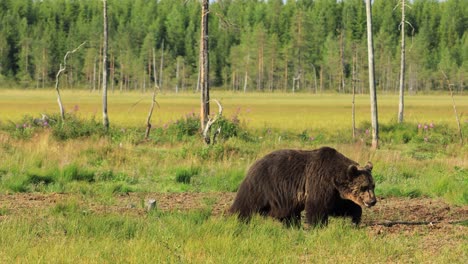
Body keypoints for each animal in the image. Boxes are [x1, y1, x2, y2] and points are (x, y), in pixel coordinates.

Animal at [229, 146, 378, 227]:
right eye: (364, 187)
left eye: (373, 185)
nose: (372, 201)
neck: (334, 176)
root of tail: (254, 164)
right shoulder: (319, 181)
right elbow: (317, 207)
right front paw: (318, 226)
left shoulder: (333, 191)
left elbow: (340, 206)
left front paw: (355, 219)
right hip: (262, 185)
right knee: (245, 204)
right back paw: (234, 219)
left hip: (283, 197)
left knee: (288, 213)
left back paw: (292, 225)